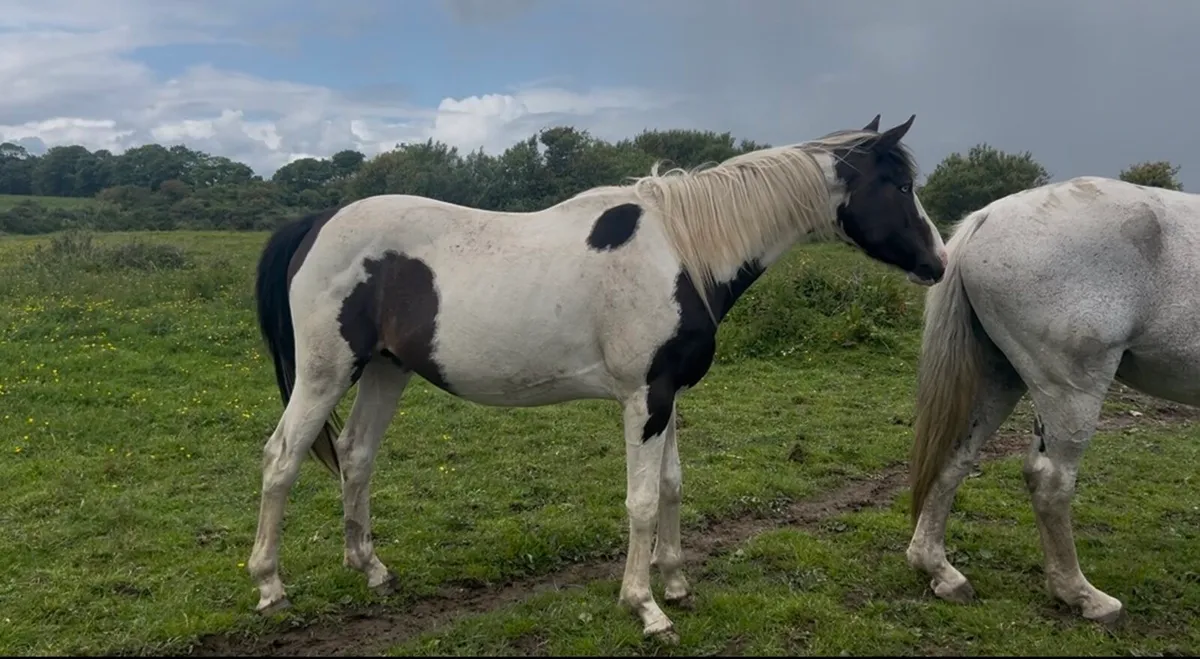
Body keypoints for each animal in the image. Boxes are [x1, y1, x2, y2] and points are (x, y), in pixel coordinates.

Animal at [248, 114, 947, 642]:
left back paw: (370, 569)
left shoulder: (668, 397)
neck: (682, 250)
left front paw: (677, 583)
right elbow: (641, 502)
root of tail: (317, 223)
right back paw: (270, 586)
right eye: (899, 185)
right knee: (281, 459)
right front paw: (646, 607)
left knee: (356, 456)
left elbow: (671, 486)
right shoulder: (644, 398)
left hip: (384, 372)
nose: (938, 262)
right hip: (325, 373)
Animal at [907, 176, 1200, 625]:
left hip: (999, 379)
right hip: (1071, 391)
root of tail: (988, 216)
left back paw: (940, 572)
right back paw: (1083, 596)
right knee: (1050, 482)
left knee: (955, 457)